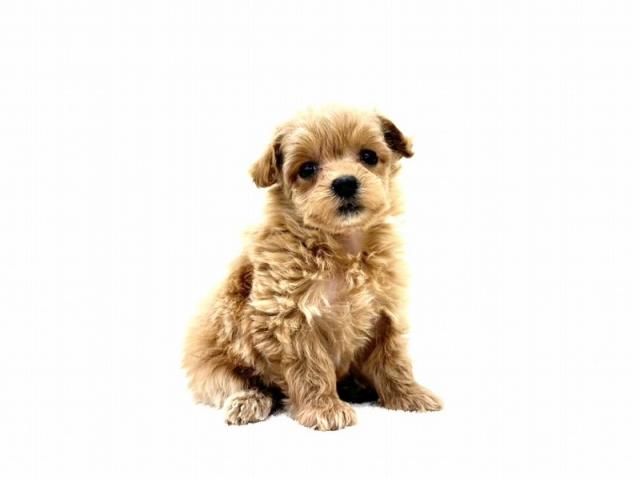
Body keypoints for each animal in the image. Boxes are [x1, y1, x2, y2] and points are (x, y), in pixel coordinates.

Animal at [183, 106, 442, 430]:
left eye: (368, 156)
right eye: (307, 169)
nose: (345, 182)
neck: (343, 247)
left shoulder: (385, 312)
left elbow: (394, 361)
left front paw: (411, 396)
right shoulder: (290, 318)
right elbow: (311, 368)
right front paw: (325, 409)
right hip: (213, 361)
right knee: (235, 383)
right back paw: (250, 401)